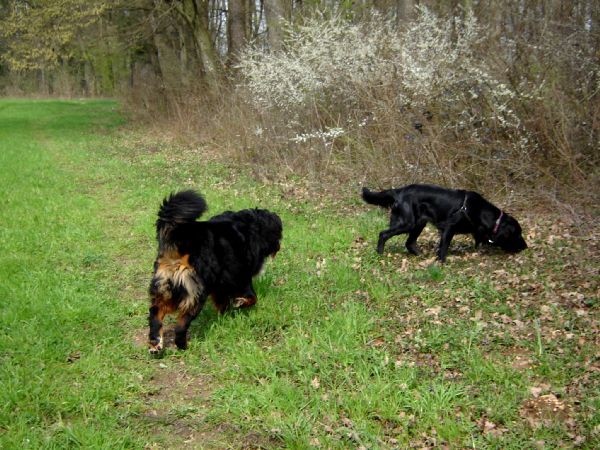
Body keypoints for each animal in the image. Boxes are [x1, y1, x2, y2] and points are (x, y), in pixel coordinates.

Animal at [149, 189, 282, 352]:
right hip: (194, 292)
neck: (250, 227)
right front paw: (239, 303)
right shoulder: (241, 277)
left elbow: (222, 303)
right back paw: (184, 346)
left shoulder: (220, 285)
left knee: (155, 314)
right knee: (180, 326)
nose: (279, 246)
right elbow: (252, 297)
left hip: (165, 287)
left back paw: (155, 344)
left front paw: (225, 317)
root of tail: (180, 238)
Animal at [360, 183, 524, 262]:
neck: (480, 210)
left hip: (419, 223)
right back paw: (380, 253)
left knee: (409, 243)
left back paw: (420, 255)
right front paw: (442, 263)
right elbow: (444, 249)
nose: (525, 247)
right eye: (517, 234)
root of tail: (398, 191)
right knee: (383, 234)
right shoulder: (448, 229)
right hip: (407, 223)